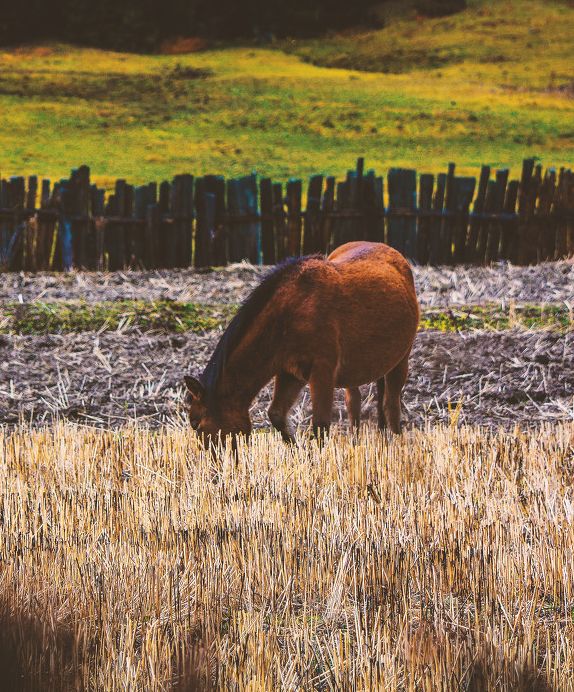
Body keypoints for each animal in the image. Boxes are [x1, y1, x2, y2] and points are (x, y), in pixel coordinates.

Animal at [184, 241, 418, 440]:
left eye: (196, 423)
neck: (288, 317)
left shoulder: (323, 370)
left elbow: (320, 426)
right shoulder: (289, 372)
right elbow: (277, 415)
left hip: (402, 357)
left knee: (391, 405)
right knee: (354, 401)